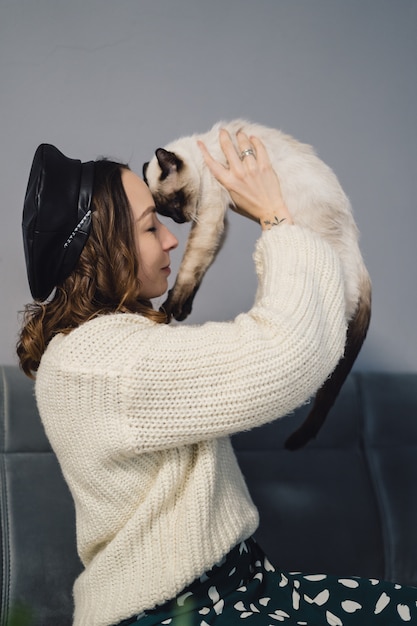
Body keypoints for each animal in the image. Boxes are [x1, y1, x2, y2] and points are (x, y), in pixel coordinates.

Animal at [143, 118, 370, 448]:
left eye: (175, 202)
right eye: (164, 213)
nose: (181, 220)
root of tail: (359, 260)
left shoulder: (209, 216)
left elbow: (189, 268)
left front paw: (170, 309)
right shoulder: (218, 222)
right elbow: (200, 269)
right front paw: (183, 310)